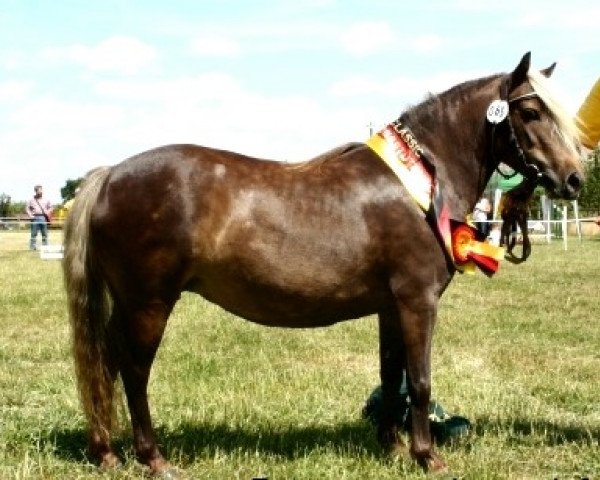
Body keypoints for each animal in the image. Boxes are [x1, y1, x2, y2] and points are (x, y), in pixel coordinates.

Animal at [64, 53, 580, 476]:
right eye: (530, 112)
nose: (575, 179)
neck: (419, 181)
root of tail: (110, 175)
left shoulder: (391, 306)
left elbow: (391, 376)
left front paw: (393, 448)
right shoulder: (418, 301)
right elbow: (420, 380)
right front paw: (427, 456)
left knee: (105, 365)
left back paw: (106, 453)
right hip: (148, 304)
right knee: (133, 371)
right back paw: (153, 458)